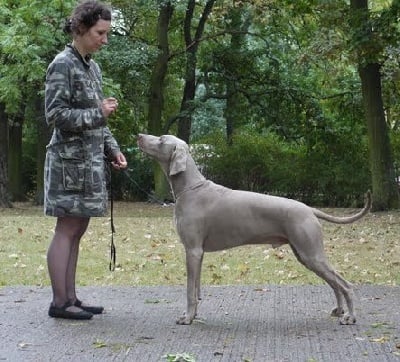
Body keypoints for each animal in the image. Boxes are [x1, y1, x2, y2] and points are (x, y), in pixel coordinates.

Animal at [138, 133, 372, 326]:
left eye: (161, 139)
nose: (139, 135)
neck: (190, 188)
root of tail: (309, 209)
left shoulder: (192, 250)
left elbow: (189, 290)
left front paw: (187, 318)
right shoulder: (199, 253)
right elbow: (196, 289)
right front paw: (193, 315)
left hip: (311, 253)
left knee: (345, 284)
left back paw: (349, 316)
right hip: (305, 255)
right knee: (335, 283)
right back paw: (339, 310)